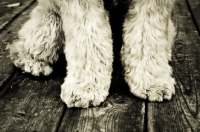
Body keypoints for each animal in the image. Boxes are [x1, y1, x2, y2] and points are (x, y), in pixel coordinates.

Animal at [8, 0, 177, 108]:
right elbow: (89, 40)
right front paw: (86, 87)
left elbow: (148, 35)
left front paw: (152, 81)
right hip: (49, 22)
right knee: (21, 44)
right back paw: (33, 63)